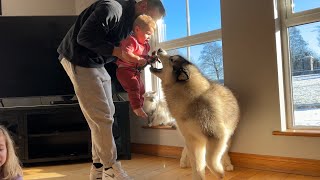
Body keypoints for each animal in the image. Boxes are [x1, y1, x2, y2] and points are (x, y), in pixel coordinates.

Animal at [149, 48, 239, 179]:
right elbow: (197, 166)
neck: (191, 100)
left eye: (171, 59)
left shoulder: (217, 135)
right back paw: (183, 161)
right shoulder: (193, 139)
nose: (159, 49)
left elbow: (210, 159)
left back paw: (227, 164)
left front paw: (218, 171)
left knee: (224, 151)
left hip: (226, 136)